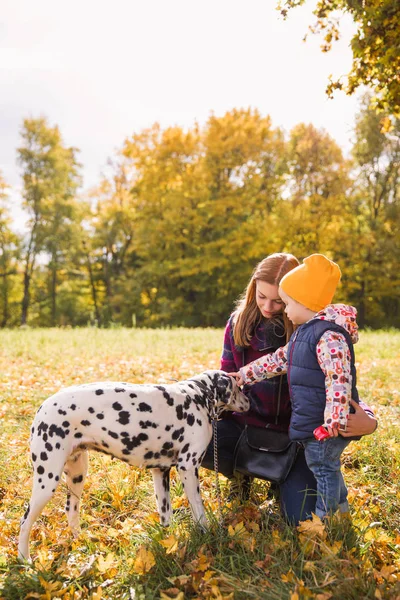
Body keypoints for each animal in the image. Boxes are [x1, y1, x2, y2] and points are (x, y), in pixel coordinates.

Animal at [19, 368, 250, 560]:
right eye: (238, 387)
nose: (249, 400)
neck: (198, 396)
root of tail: (42, 407)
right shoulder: (188, 467)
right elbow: (199, 513)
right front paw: (207, 535)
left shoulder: (160, 472)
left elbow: (166, 517)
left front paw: (168, 543)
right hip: (47, 480)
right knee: (25, 521)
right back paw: (25, 560)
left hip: (77, 475)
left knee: (71, 510)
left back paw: (80, 541)